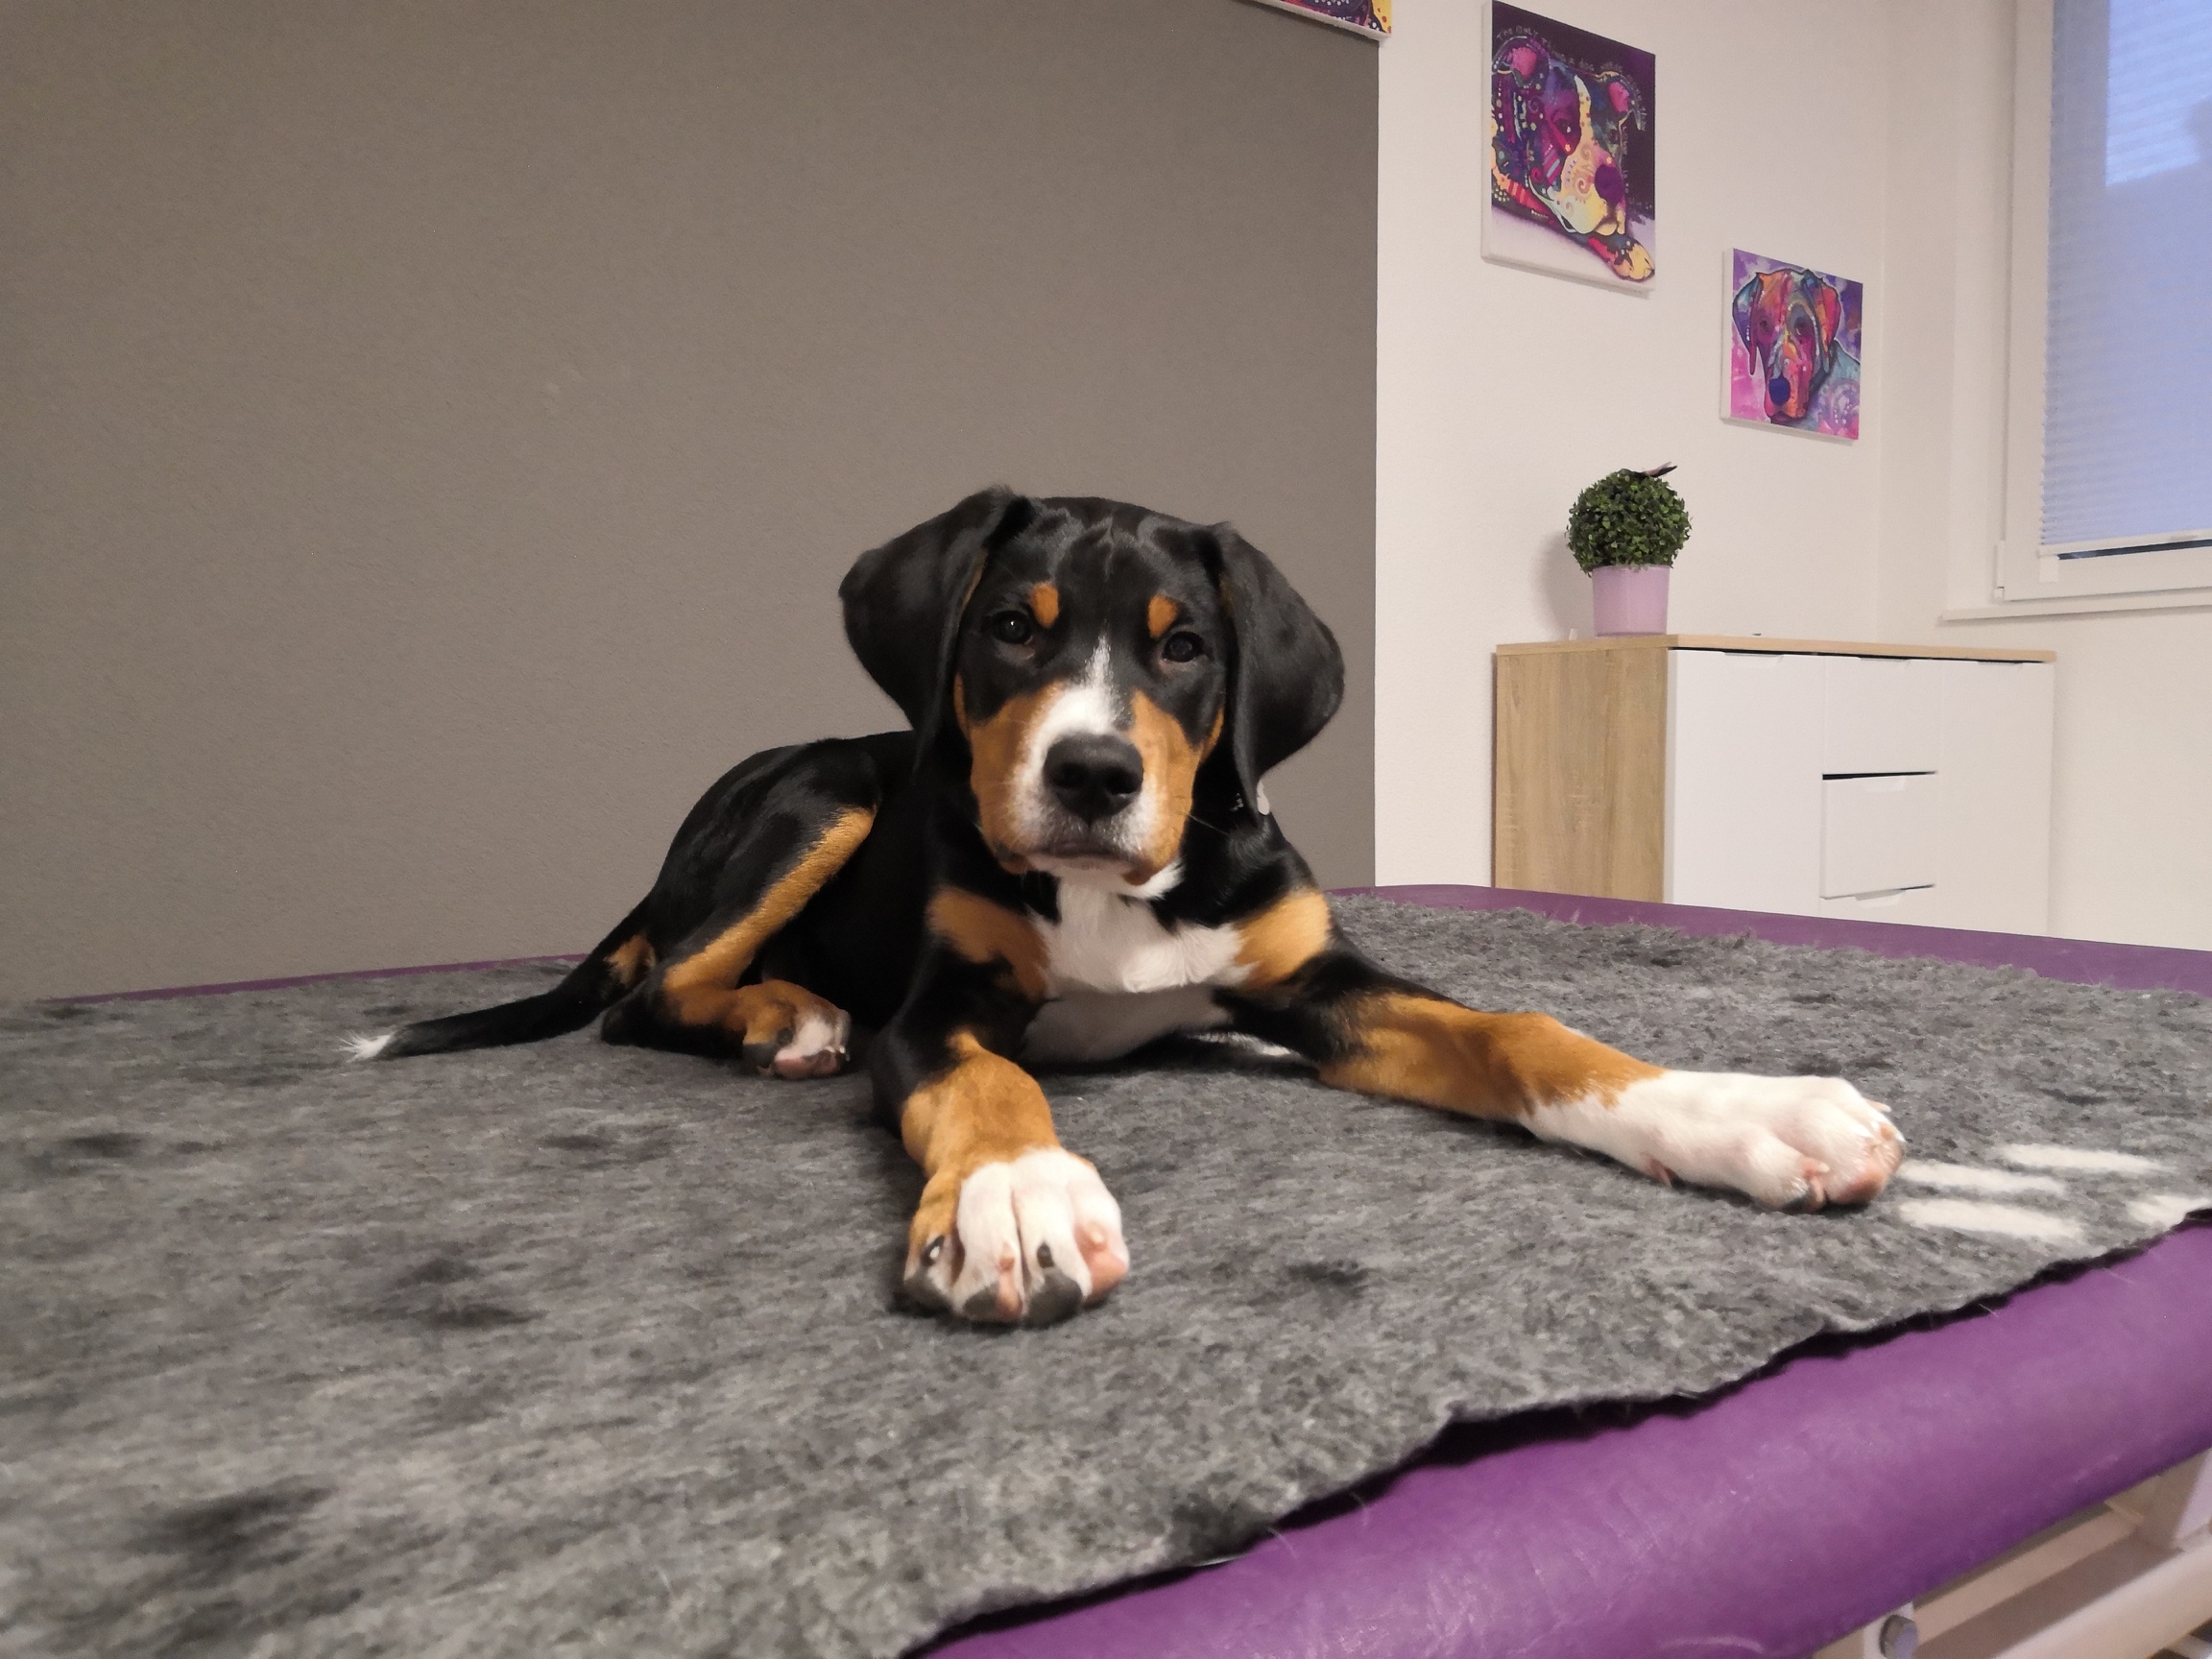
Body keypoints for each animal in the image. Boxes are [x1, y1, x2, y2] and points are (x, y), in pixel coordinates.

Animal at [352, 491, 1902, 1325]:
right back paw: (786, 1015)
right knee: (648, 993)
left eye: (1188, 648)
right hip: (823, 792)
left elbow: (1522, 1030)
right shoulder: (940, 1006)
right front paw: (1018, 1195)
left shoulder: (1316, 980)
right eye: (1010, 627)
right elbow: (987, 1083)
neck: (1115, 894)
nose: (1093, 774)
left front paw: (1738, 1111)